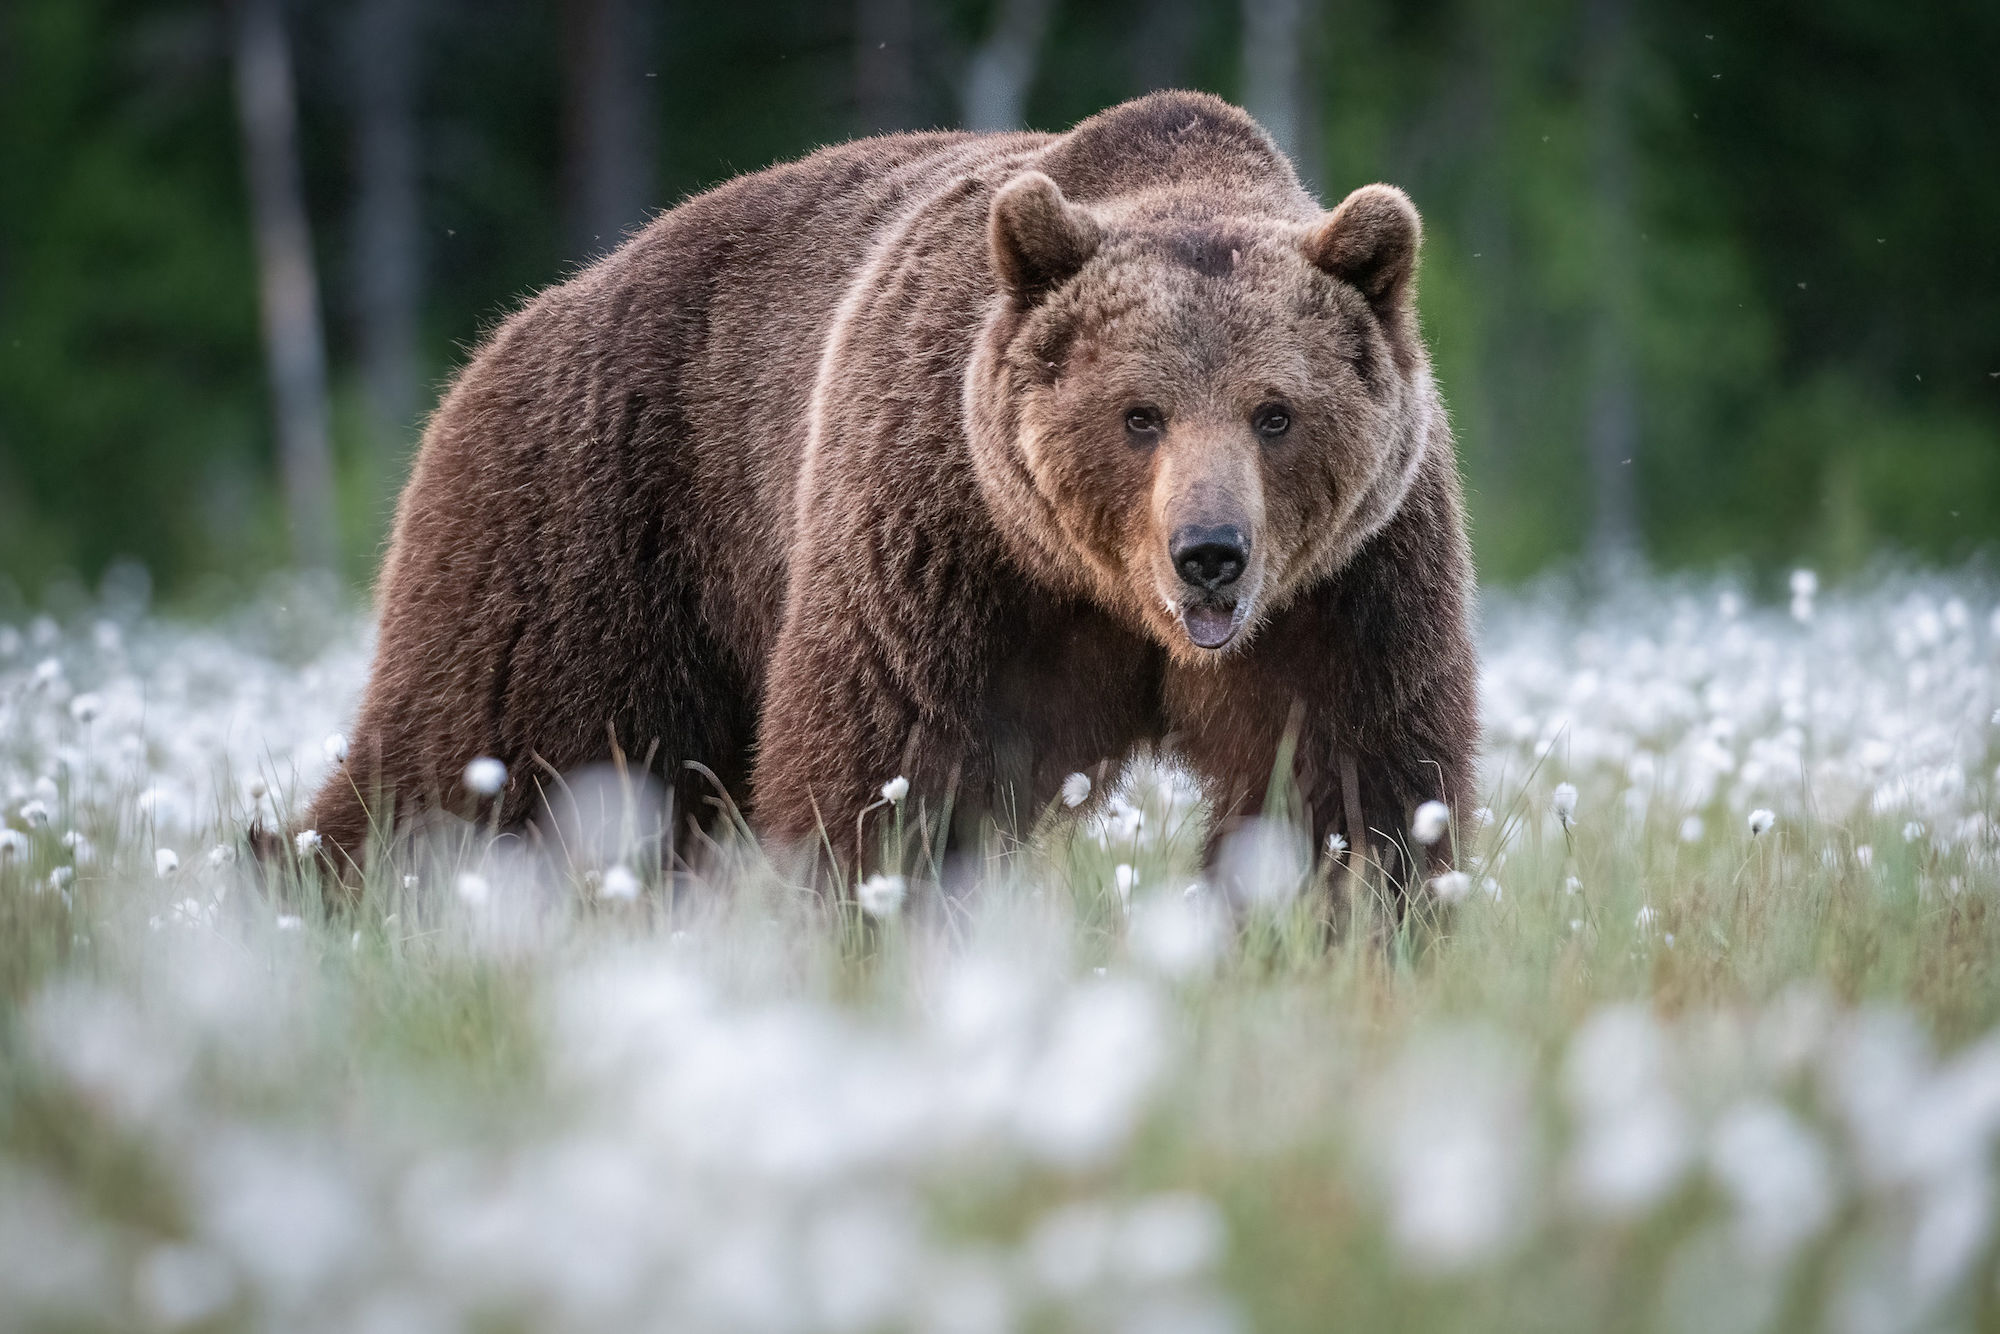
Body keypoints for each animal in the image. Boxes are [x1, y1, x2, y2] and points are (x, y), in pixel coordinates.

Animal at [303, 90, 1477, 895]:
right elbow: (892, 770)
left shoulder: (1349, 586)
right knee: (485, 756)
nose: (1210, 550)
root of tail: (512, 329)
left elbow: (1353, 787)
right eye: (1139, 413)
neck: (1110, 598)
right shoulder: (941, 541)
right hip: (594, 522)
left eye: (1274, 412)